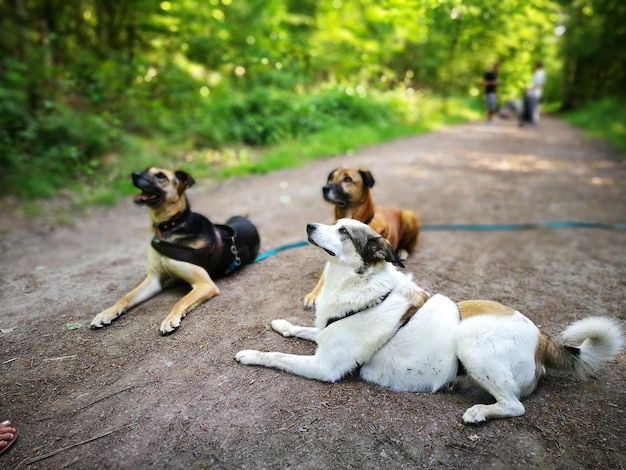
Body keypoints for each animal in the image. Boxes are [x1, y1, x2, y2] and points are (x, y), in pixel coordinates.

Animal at [89, 167, 258, 332]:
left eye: (160, 176)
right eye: (146, 170)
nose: (134, 174)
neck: (169, 226)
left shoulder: (205, 284)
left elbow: (181, 300)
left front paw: (170, 319)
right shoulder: (154, 279)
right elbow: (126, 297)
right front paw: (106, 313)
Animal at [236, 218, 620, 424]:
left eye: (343, 231)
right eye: (334, 224)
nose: (310, 224)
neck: (361, 286)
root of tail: (543, 338)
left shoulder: (325, 366)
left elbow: (276, 356)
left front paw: (249, 354)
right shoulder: (326, 336)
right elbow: (306, 329)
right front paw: (283, 326)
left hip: (470, 342)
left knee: (516, 405)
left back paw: (479, 412)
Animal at [304, 168, 420, 308]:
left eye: (347, 179)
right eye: (331, 178)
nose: (309, 226)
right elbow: (323, 277)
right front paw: (313, 294)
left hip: (410, 217)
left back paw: (402, 251)